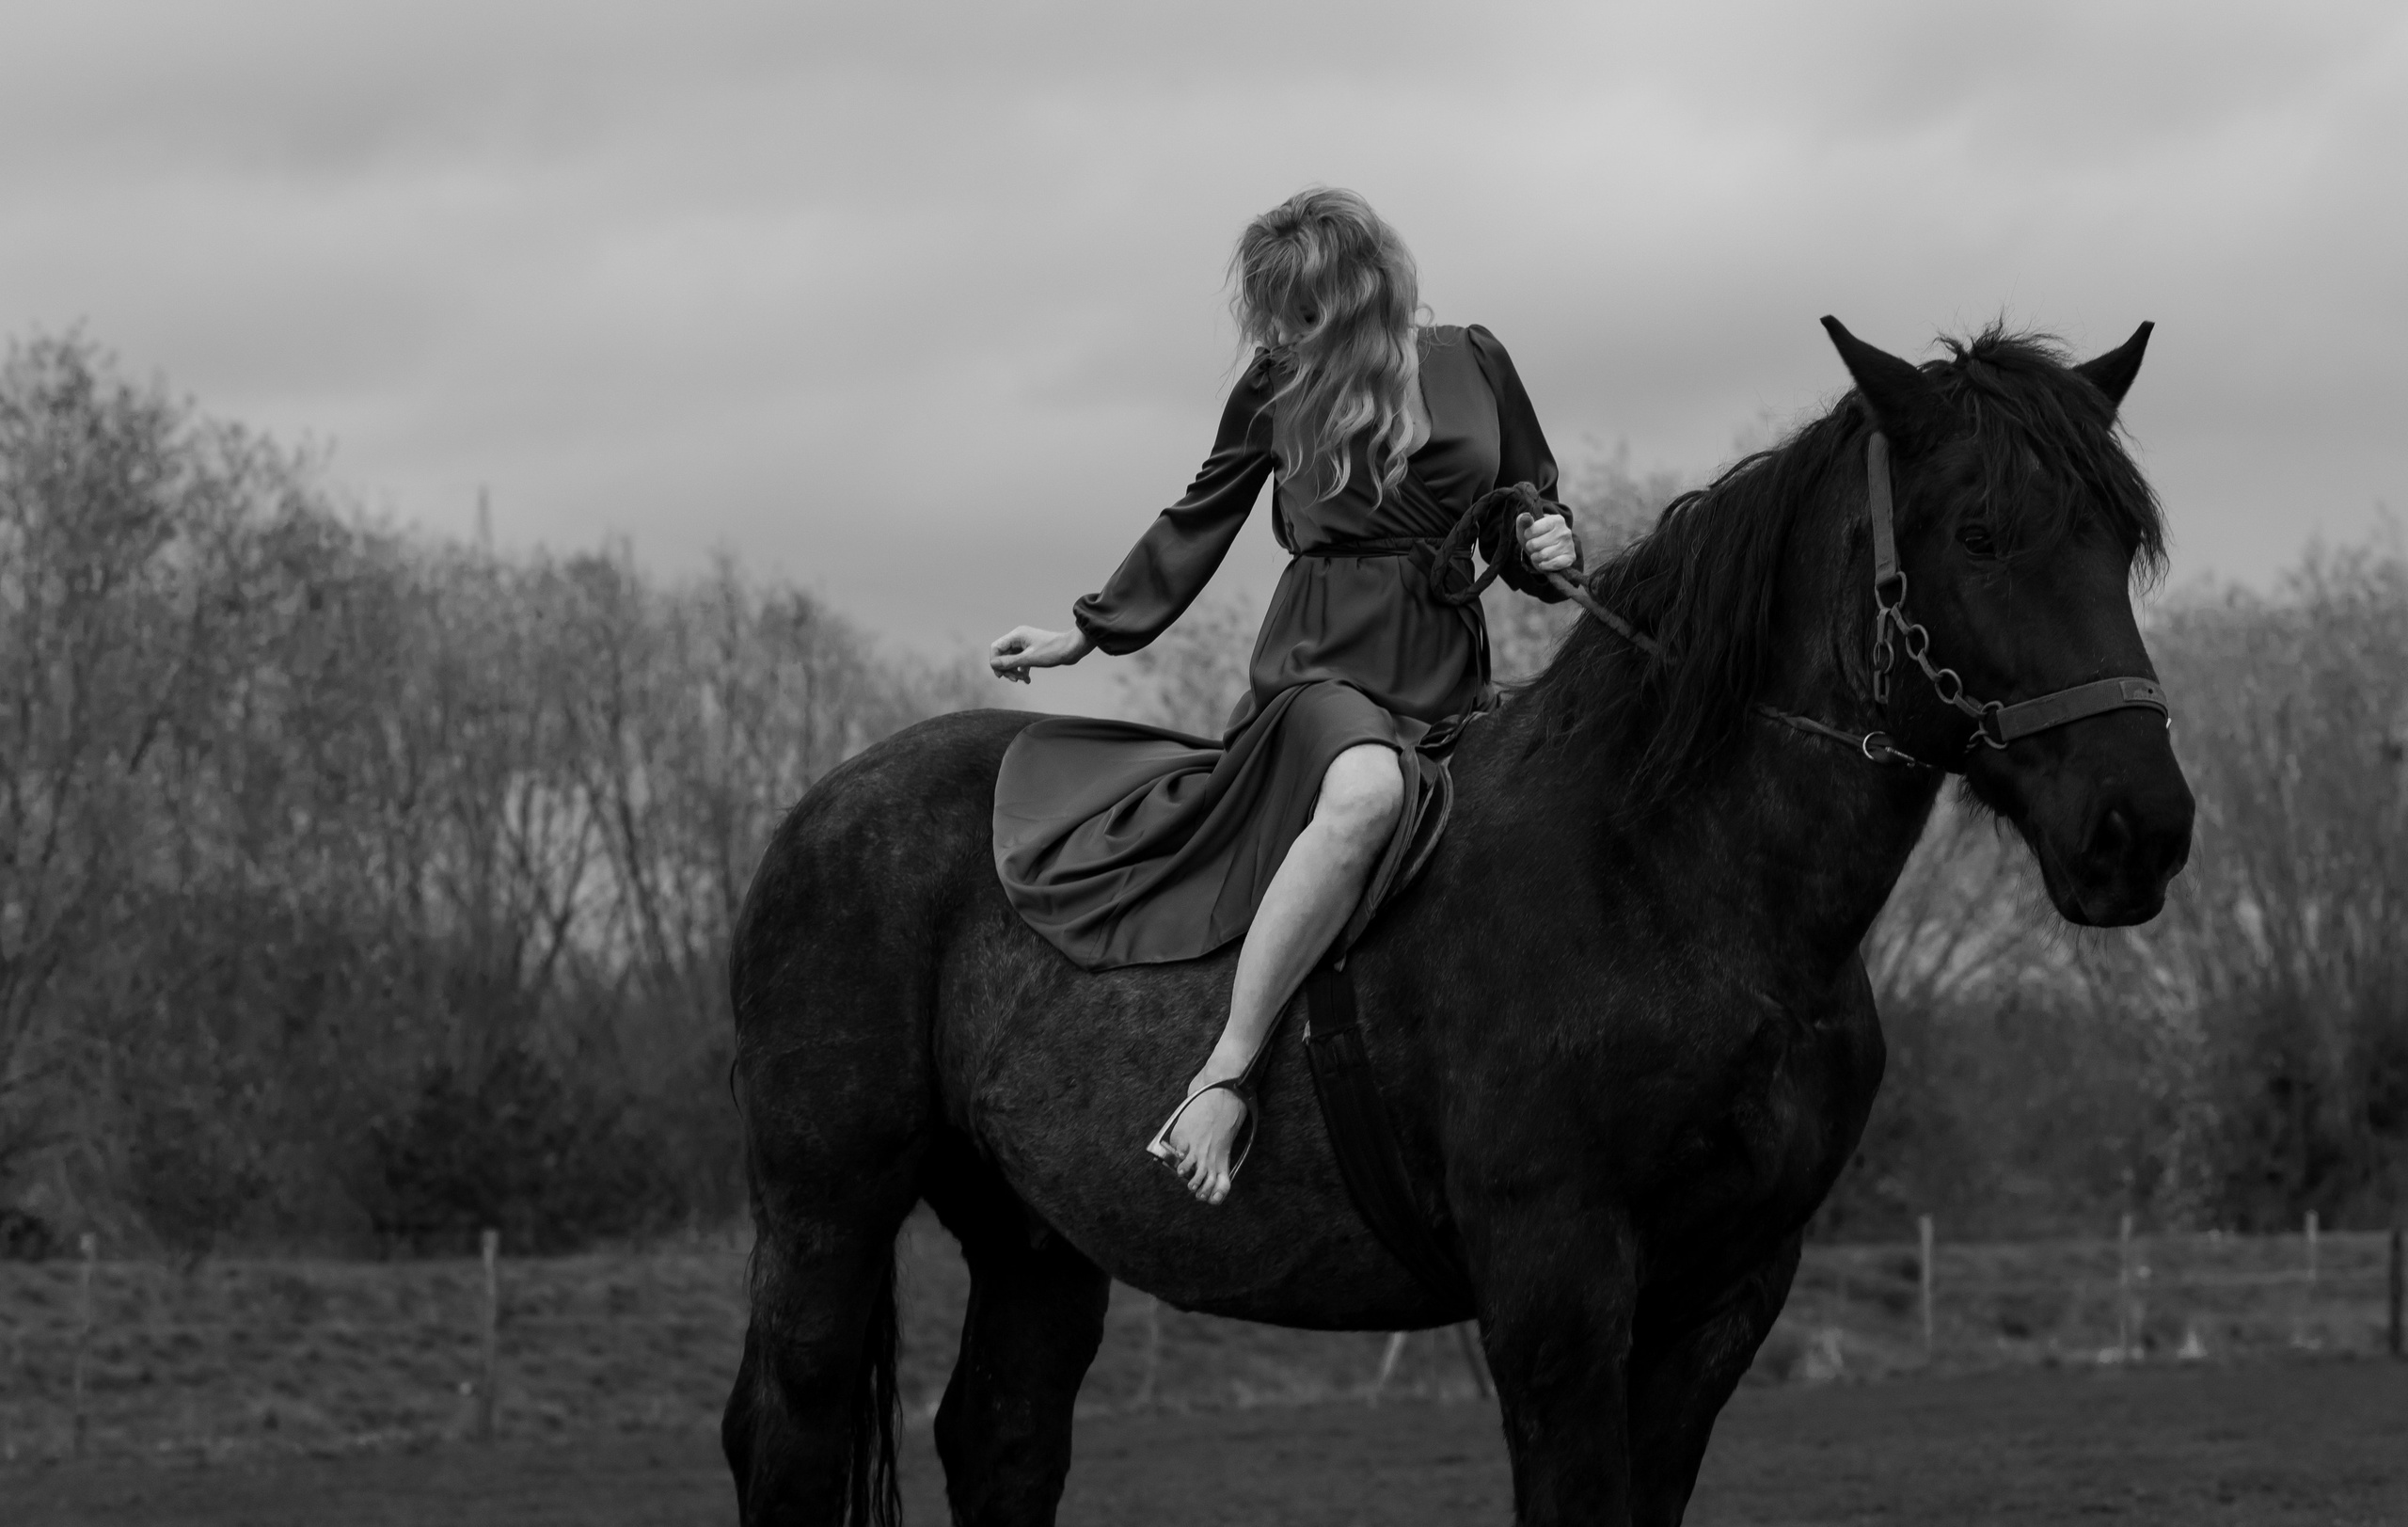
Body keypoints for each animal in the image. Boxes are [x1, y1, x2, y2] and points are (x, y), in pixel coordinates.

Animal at [719, 318, 2195, 1526]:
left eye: (2120, 539)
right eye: (1981, 535)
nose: (2141, 828)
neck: (1676, 885)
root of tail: (824, 804)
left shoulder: (1724, 1298)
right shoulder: (1557, 1292)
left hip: (1034, 1240)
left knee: (1003, 1438)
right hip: (825, 1207)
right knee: (785, 1434)